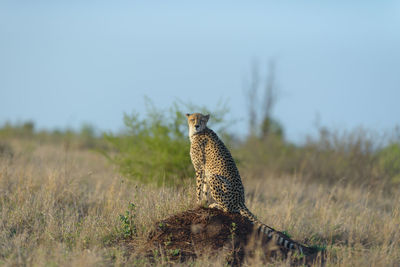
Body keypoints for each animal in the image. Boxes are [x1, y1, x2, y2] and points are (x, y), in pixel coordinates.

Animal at [186, 112, 310, 255]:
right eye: (192, 119)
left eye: (201, 120)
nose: (196, 126)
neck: (197, 133)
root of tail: (241, 200)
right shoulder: (205, 171)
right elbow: (204, 190)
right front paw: (203, 204)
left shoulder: (200, 169)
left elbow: (198, 189)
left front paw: (197, 204)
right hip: (213, 177)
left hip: (215, 178)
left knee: (229, 209)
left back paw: (216, 205)